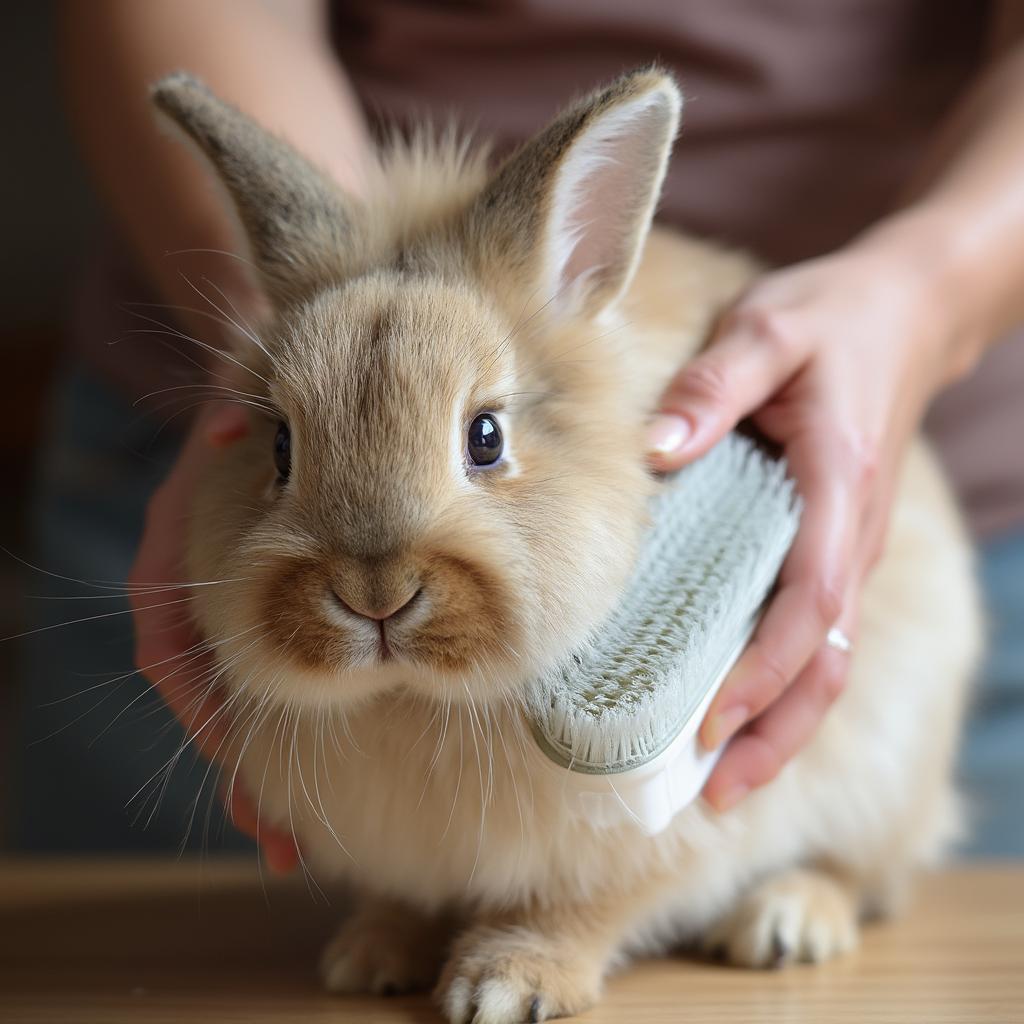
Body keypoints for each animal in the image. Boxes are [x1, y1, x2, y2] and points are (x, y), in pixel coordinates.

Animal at [149, 66, 974, 1024]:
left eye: (485, 438)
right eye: (279, 446)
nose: (374, 593)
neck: (413, 700)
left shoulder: (664, 826)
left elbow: (580, 908)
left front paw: (506, 985)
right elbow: (405, 901)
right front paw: (370, 957)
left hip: (885, 758)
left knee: (867, 873)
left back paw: (787, 922)